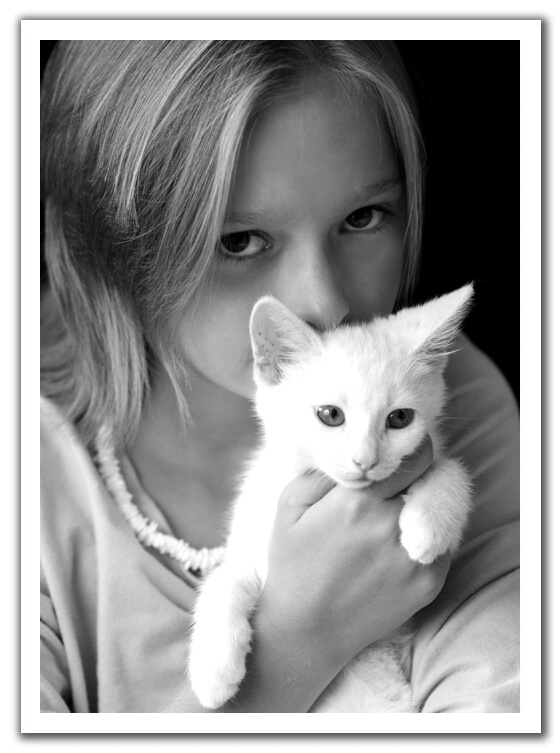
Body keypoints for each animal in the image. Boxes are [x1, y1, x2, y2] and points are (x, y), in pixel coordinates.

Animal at [188, 284, 474, 712]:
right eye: (330, 415)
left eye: (400, 418)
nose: (365, 460)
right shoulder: (250, 538)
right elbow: (226, 579)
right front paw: (213, 672)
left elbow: (453, 470)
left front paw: (429, 525)